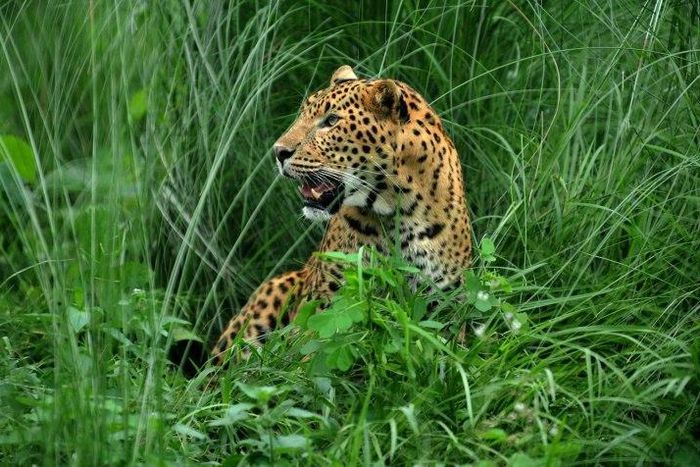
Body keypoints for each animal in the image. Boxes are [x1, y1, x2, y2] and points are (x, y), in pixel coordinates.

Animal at [211, 65, 472, 364]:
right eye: (302, 114)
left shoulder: (446, 308)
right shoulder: (326, 305)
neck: (399, 213)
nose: (278, 152)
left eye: (331, 120)